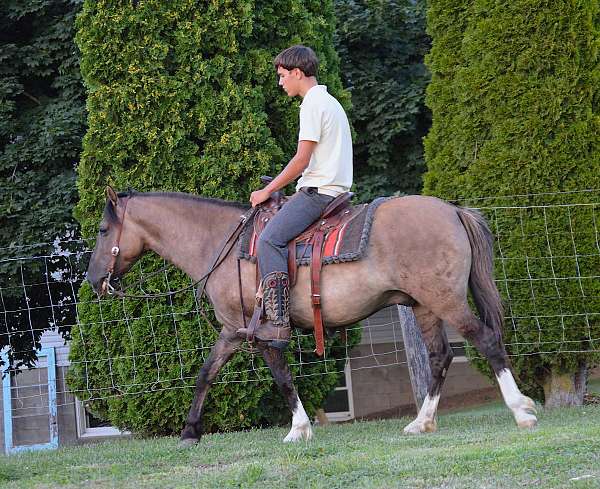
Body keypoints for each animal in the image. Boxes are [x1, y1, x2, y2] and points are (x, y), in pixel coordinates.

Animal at [85, 185, 540, 444]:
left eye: (103, 231)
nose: (93, 280)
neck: (221, 244)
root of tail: (452, 210)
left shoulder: (261, 332)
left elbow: (283, 379)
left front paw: (299, 428)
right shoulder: (232, 331)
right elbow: (205, 375)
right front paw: (189, 432)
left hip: (445, 301)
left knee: (486, 340)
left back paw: (521, 410)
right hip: (423, 306)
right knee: (440, 356)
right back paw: (420, 424)